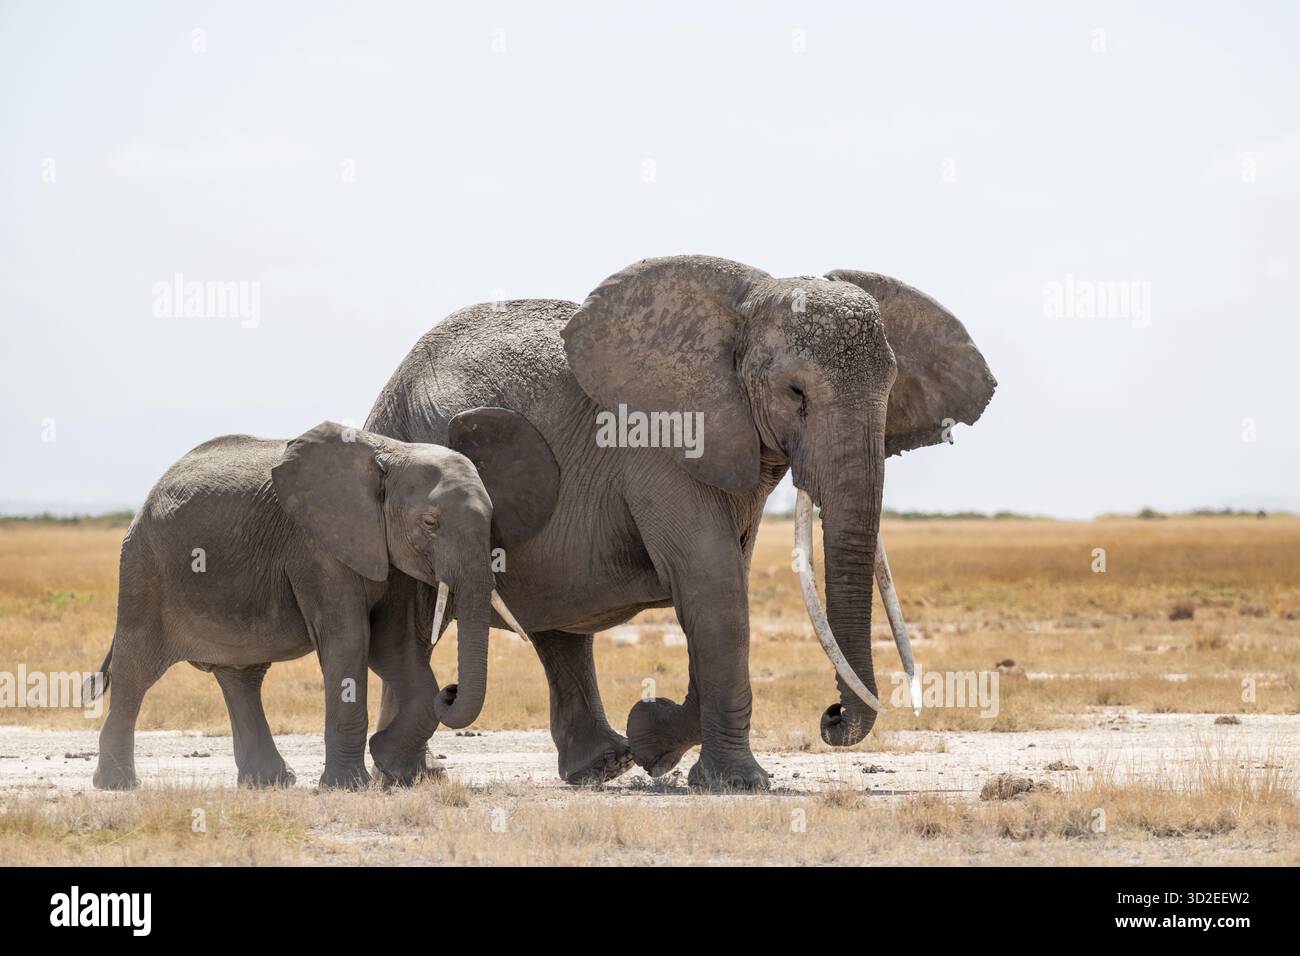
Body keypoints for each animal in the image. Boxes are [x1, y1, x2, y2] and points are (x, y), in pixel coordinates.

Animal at [87, 412, 557, 790]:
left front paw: (388, 761)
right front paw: (349, 786)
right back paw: (118, 785)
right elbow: (349, 640)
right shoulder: (316, 546)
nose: (453, 689)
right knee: (135, 672)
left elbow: (392, 644)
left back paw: (271, 782)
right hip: (143, 569)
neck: (392, 455)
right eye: (430, 523)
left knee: (241, 676)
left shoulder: (384, 550)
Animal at [365, 255, 996, 790]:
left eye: (891, 390)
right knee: (419, 616)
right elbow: (712, 585)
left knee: (556, 628)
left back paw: (596, 767)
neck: (741, 315)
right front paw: (736, 783)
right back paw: (410, 774)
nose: (832, 715)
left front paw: (653, 739)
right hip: (407, 446)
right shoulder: (659, 442)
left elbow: (720, 589)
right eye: (795, 391)